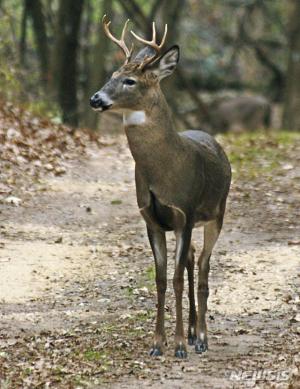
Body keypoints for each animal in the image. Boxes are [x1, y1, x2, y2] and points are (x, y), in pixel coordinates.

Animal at [89, 17, 232, 358]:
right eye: (111, 76)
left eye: (129, 81)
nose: (95, 99)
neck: (164, 171)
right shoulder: (151, 219)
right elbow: (161, 278)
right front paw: (158, 343)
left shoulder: (185, 214)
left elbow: (177, 278)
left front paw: (178, 345)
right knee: (193, 261)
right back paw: (193, 332)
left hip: (217, 213)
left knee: (203, 268)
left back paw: (201, 338)